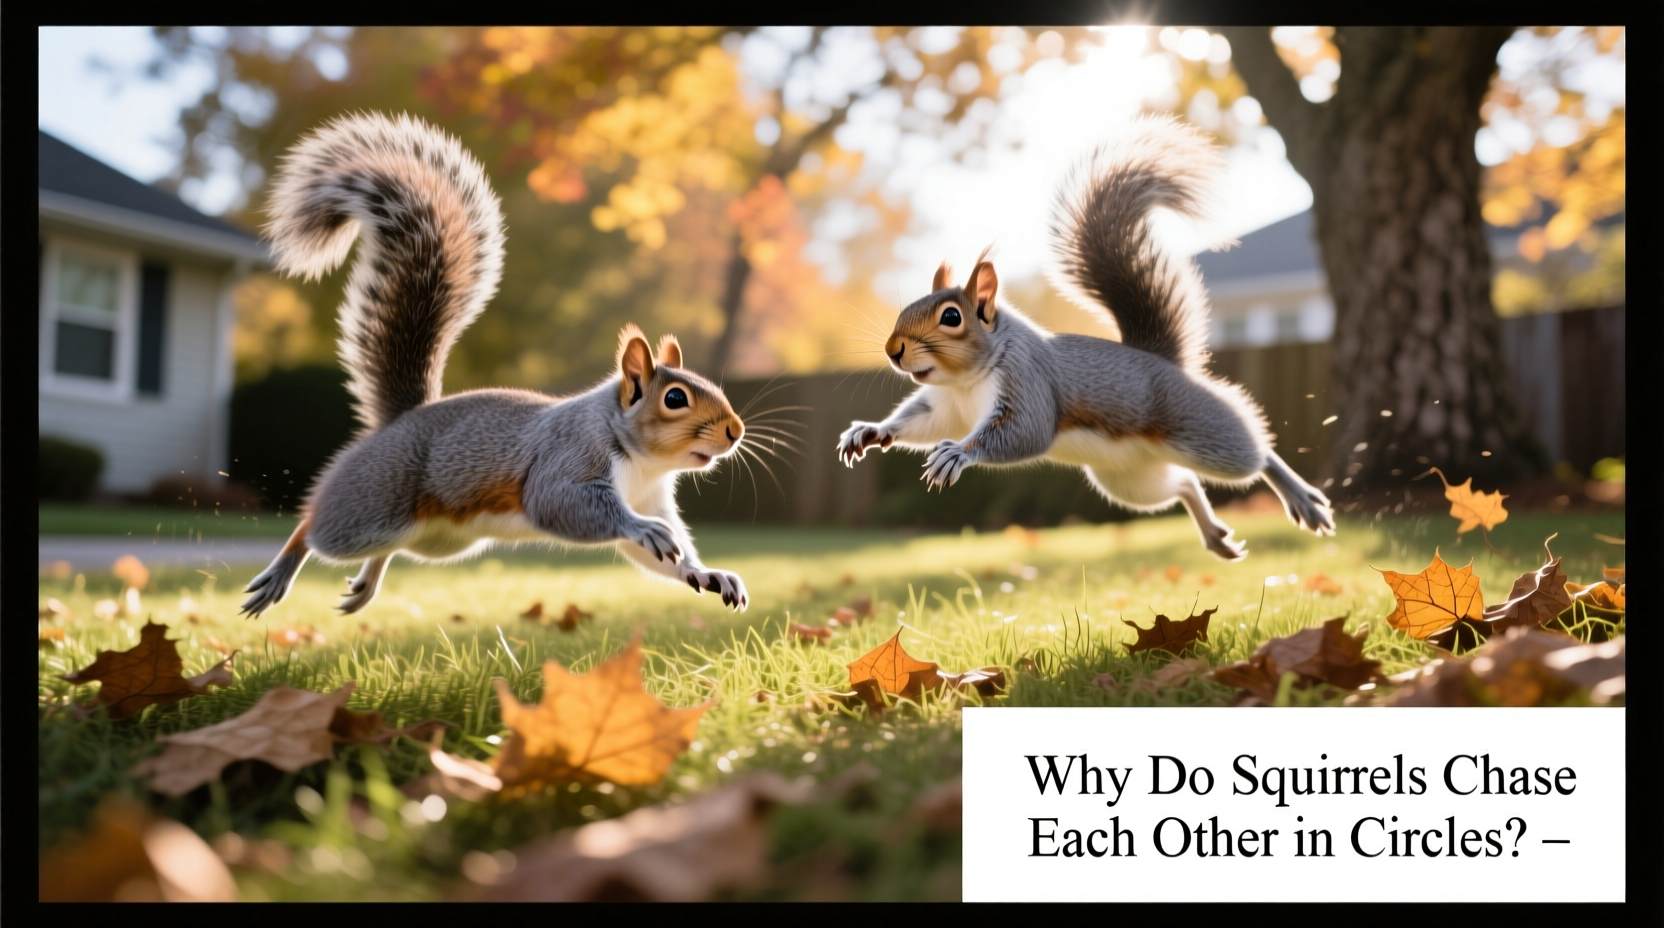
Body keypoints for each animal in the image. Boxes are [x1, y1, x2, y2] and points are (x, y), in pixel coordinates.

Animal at [241, 112, 749, 617]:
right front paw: (643, 528)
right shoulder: (568, 457)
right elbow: (567, 504)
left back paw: (365, 585)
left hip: (439, 540)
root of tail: (399, 421)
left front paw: (708, 573)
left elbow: (669, 557)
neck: (644, 463)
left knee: (386, 548)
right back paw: (280, 572)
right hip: (374, 505)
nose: (735, 431)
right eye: (675, 398)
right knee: (315, 527)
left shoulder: (651, 496)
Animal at [836, 117, 1334, 560]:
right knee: (1185, 483)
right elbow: (919, 421)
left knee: (1255, 454)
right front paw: (870, 430)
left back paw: (1301, 497)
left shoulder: (1028, 383)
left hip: (1203, 432)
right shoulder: (945, 406)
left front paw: (956, 454)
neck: (967, 381)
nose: (893, 350)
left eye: (952, 317)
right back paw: (1215, 537)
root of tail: (1164, 361)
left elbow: (1024, 432)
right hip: (1127, 479)